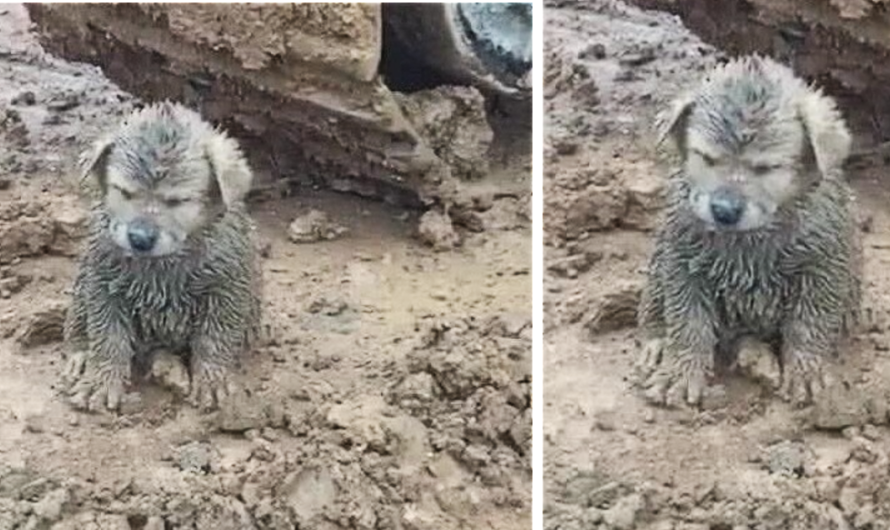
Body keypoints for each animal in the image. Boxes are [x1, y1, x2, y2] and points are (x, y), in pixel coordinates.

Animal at [63, 101, 260, 410]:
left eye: (178, 201)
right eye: (125, 192)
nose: (140, 238)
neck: (163, 263)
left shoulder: (228, 286)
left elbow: (215, 336)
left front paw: (211, 380)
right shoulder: (102, 283)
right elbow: (108, 337)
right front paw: (102, 381)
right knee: (77, 321)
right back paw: (82, 355)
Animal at [640, 54, 860, 404]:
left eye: (767, 168)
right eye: (707, 158)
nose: (724, 211)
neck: (751, 238)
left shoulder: (824, 263)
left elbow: (809, 321)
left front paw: (805, 370)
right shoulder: (681, 259)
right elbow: (688, 321)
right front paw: (681, 371)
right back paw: (660, 342)